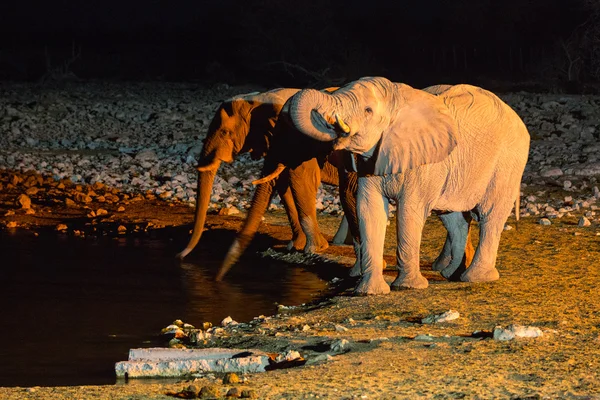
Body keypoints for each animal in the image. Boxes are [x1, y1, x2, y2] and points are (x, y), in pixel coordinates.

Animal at [288, 76, 528, 296]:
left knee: (490, 215)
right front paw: (369, 292)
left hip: (507, 162)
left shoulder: (424, 160)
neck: (397, 100)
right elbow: (369, 209)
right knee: (453, 218)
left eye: (368, 110)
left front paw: (407, 287)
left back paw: (475, 277)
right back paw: (452, 274)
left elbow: (409, 210)